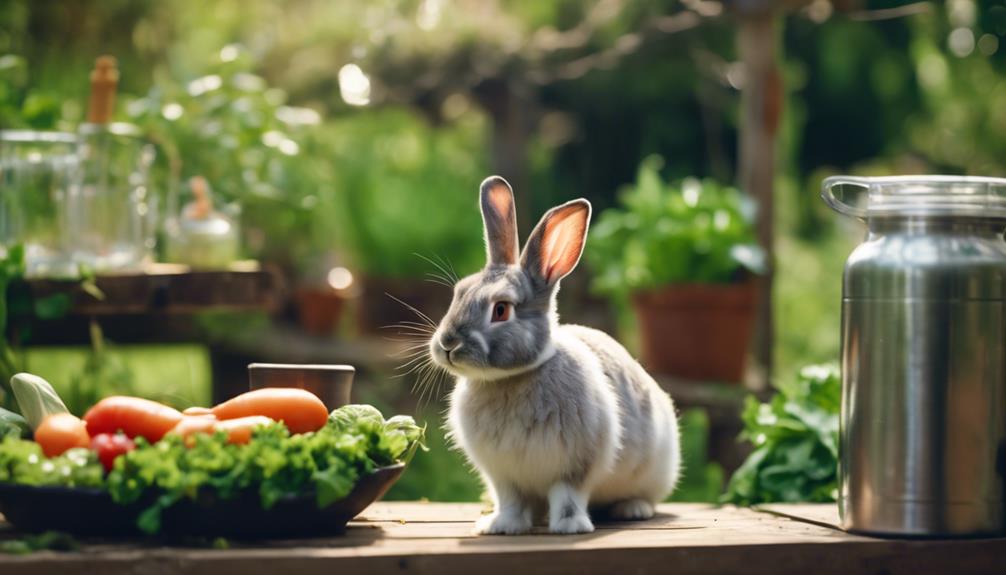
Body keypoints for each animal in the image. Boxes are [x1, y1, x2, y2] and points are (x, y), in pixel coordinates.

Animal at [428, 175, 681, 535]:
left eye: (501, 310)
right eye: (459, 293)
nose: (448, 344)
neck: (510, 379)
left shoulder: (576, 465)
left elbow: (567, 496)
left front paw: (570, 527)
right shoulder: (503, 475)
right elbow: (511, 500)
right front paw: (501, 526)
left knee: (646, 496)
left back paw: (632, 509)